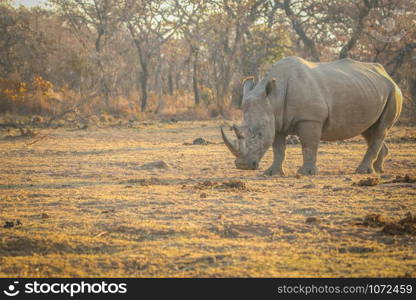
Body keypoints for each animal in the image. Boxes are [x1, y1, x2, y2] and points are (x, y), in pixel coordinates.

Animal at [221, 55, 404, 176]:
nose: (242, 165)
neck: (273, 99)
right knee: (369, 129)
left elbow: (309, 145)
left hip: (393, 92)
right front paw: (272, 173)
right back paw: (377, 170)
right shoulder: (276, 122)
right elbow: (278, 149)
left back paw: (362, 171)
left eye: (258, 134)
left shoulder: (310, 119)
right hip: (370, 89)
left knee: (380, 129)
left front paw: (306, 172)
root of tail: (387, 75)